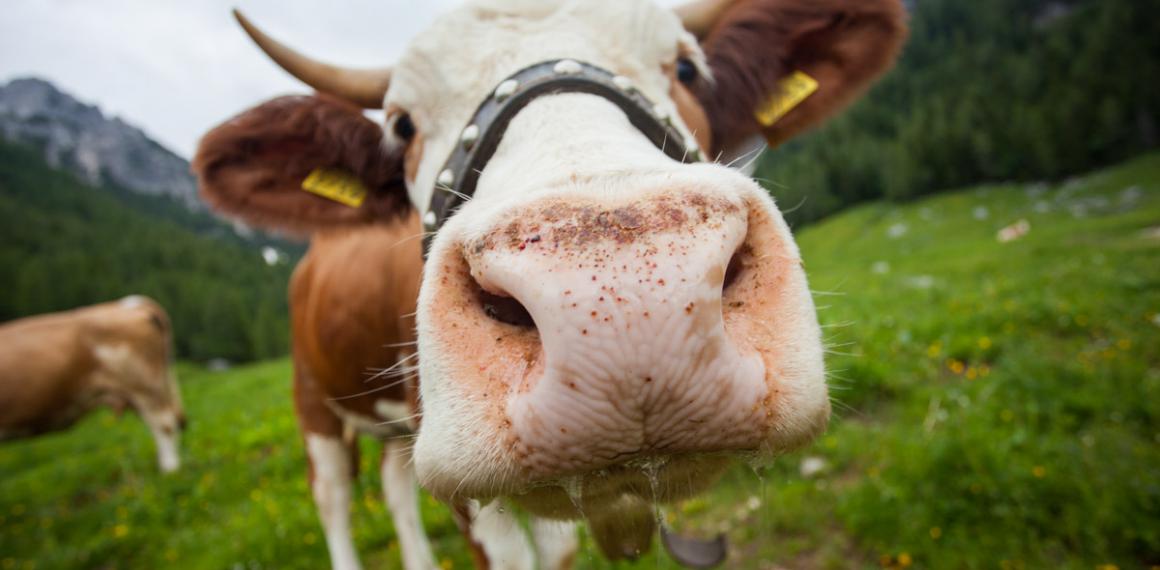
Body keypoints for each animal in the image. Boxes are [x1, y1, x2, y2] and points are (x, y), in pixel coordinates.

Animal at [193, 0, 906, 566]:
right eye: (401, 124)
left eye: (686, 69)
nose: (630, 303)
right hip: (312, 399)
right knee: (335, 501)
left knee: (395, 487)